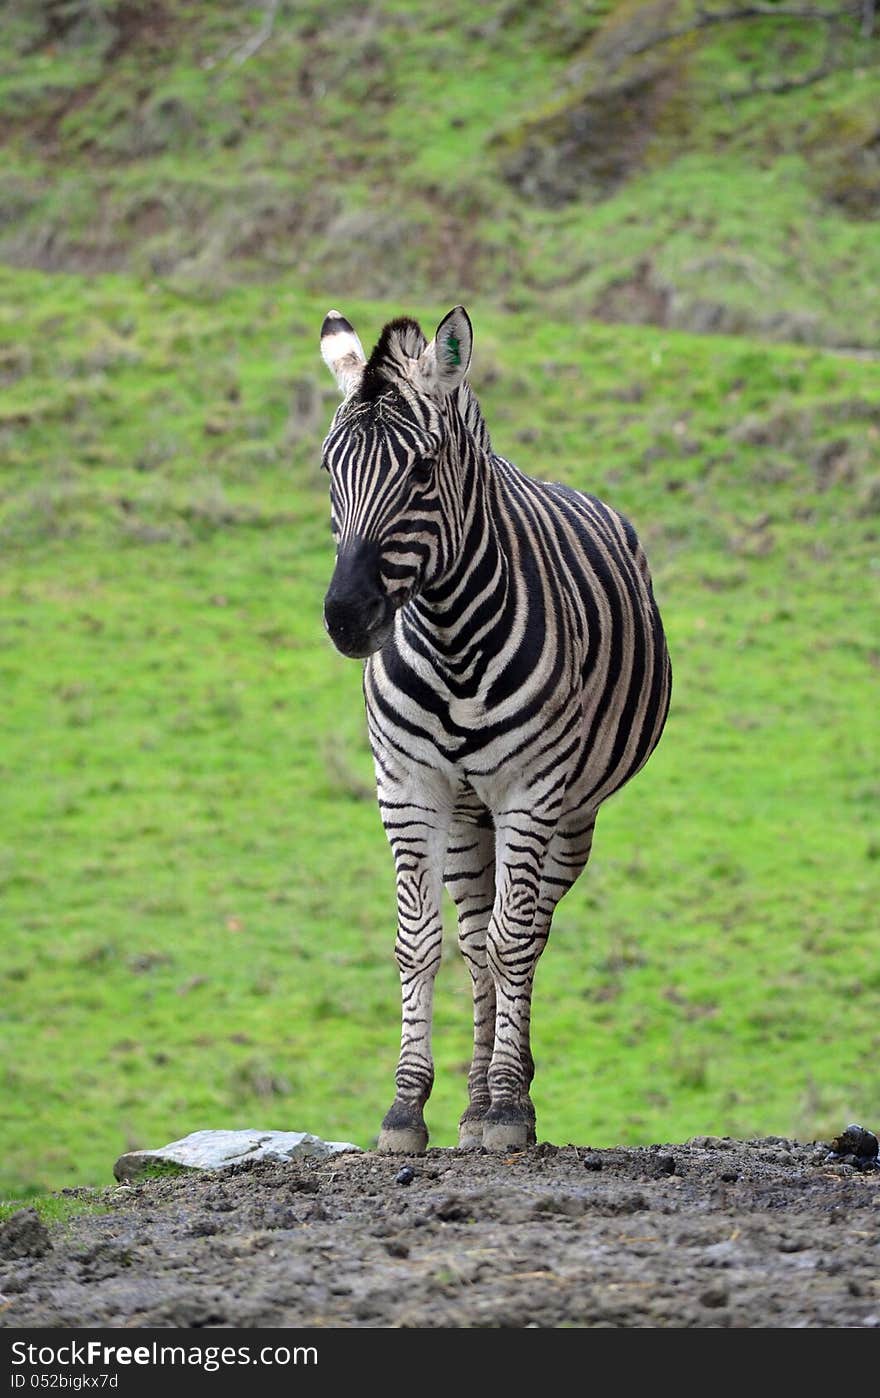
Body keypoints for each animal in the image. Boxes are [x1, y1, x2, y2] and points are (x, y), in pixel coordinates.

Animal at [318, 303, 668, 1146]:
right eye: (326, 470)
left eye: (421, 473)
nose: (347, 619)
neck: (450, 633)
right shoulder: (408, 786)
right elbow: (422, 944)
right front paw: (407, 1108)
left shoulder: (532, 792)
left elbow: (515, 945)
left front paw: (511, 1107)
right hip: (464, 815)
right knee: (475, 940)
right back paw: (472, 1104)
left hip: (568, 816)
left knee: (526, 934)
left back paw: (505, 1098)